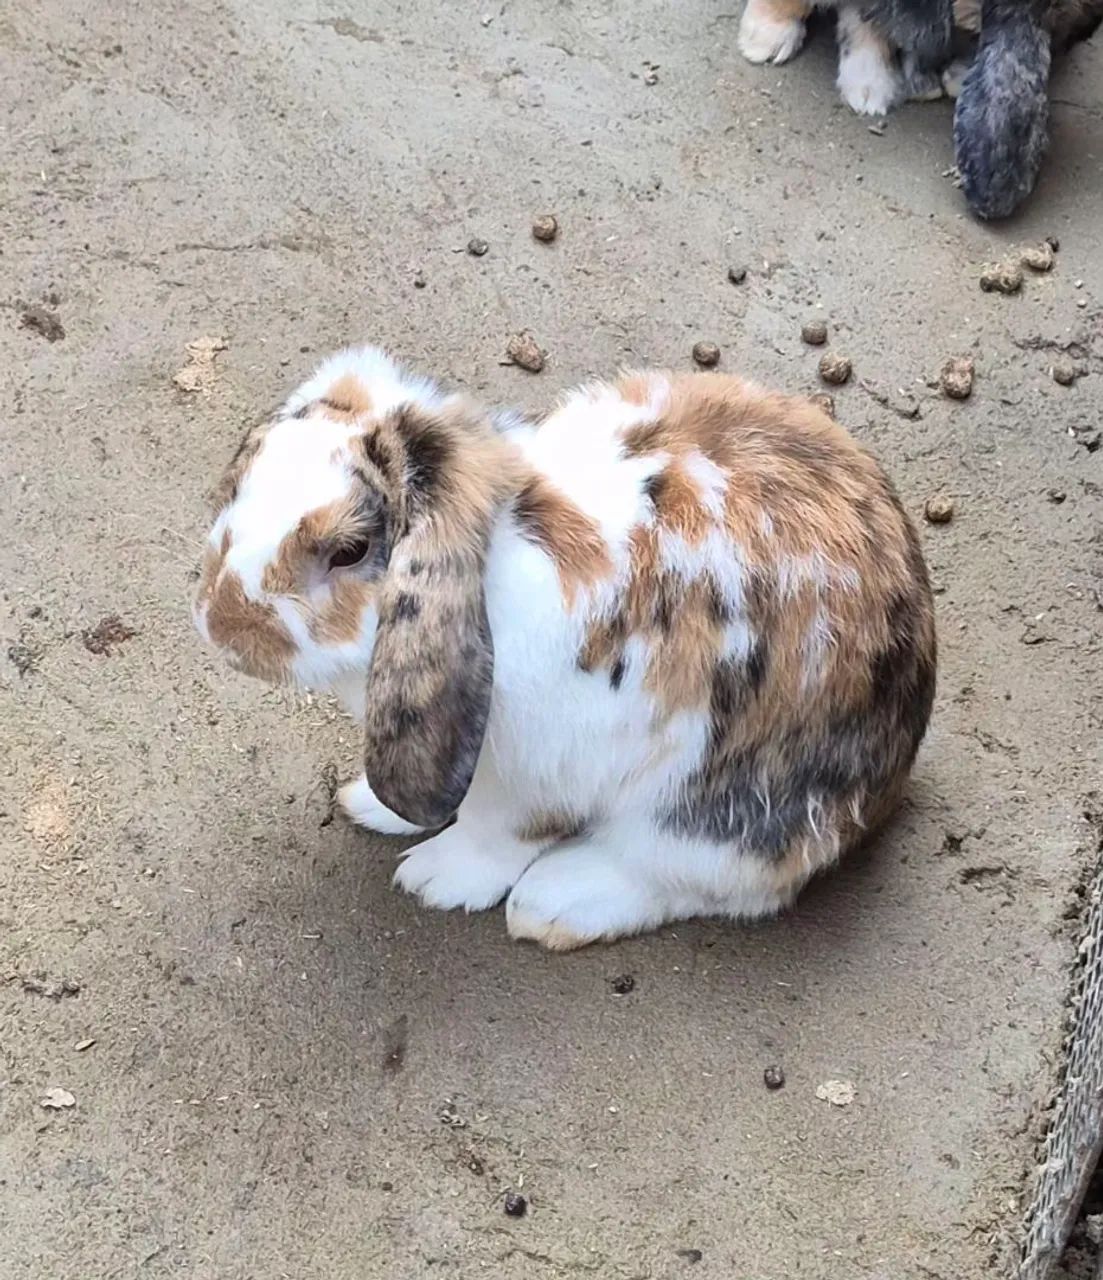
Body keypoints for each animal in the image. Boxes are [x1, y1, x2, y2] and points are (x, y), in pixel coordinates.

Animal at [194, 347, 936, 950]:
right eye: (242, 472)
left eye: (348, 550)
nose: (220, 622)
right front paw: (372, 804)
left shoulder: (536, 770)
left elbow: (498, 834)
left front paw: (434, 878)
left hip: (710, 814)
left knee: (708, 882)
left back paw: (554, 904)